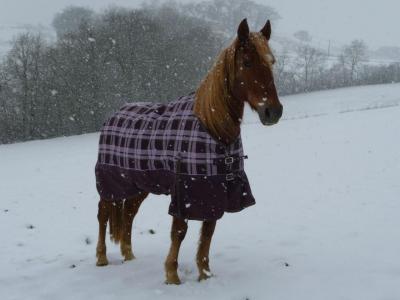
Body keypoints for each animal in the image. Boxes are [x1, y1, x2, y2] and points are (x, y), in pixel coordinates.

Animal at [94, 17, 282, 284]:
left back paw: (129, 256)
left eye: (271, 61)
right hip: (111, 183)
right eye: (247, 62)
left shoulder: (215, 189)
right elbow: (179, 231)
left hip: (139, 185)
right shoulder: (186, 189)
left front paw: (205, 275)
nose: (273, 112)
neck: (213, 126)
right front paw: (172, 275)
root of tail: (114, 115)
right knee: (103, 214)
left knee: (128, 213)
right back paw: (101, 257)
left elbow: (208, 232)